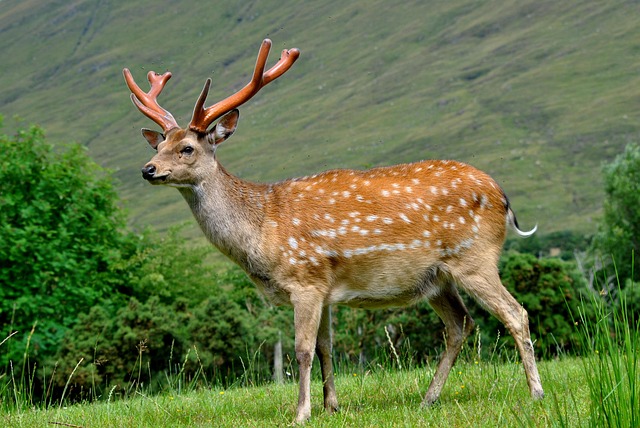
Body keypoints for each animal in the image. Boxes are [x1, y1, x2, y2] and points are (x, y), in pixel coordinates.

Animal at [123, 38, 544, 423]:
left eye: (188, 148)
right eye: (159, 144)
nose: (147, 169)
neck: (261, 232)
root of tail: (502, 196)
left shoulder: (305, 278)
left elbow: (303, 349)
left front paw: (301, 413)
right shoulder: (324, 287)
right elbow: (326, 347)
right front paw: (331, 406)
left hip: (474, 258)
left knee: (515, 313)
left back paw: (535, 393)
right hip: (437, 278)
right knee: (460, 325)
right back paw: (428, 398)